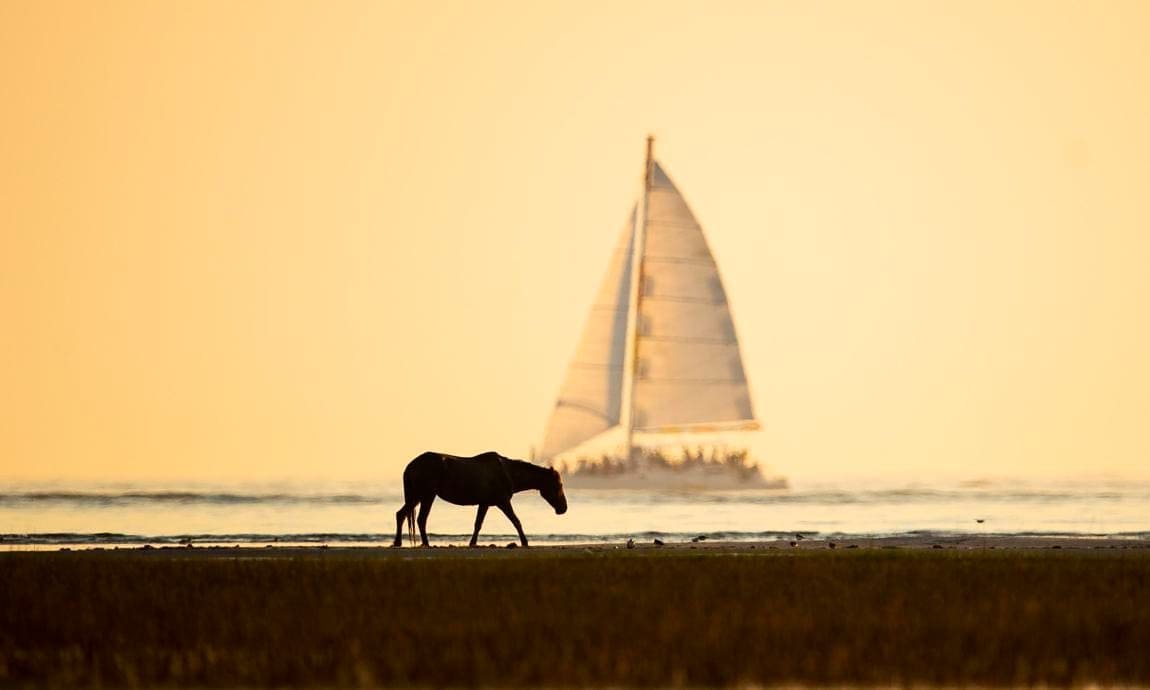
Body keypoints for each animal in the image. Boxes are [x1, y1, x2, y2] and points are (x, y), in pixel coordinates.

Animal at [393, 450, 568, 547]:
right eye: (558, 485)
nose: (563, 508)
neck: (508, 472)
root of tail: (410, 466)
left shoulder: (485, 504)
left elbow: (478, 524)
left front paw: (472, 543)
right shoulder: (503, 502)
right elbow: (516, 521)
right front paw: (525, 542)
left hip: (419, 496)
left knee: (403, 515)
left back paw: (399, 542)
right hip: (425, 495)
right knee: (419, 518)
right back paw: (424, 543)